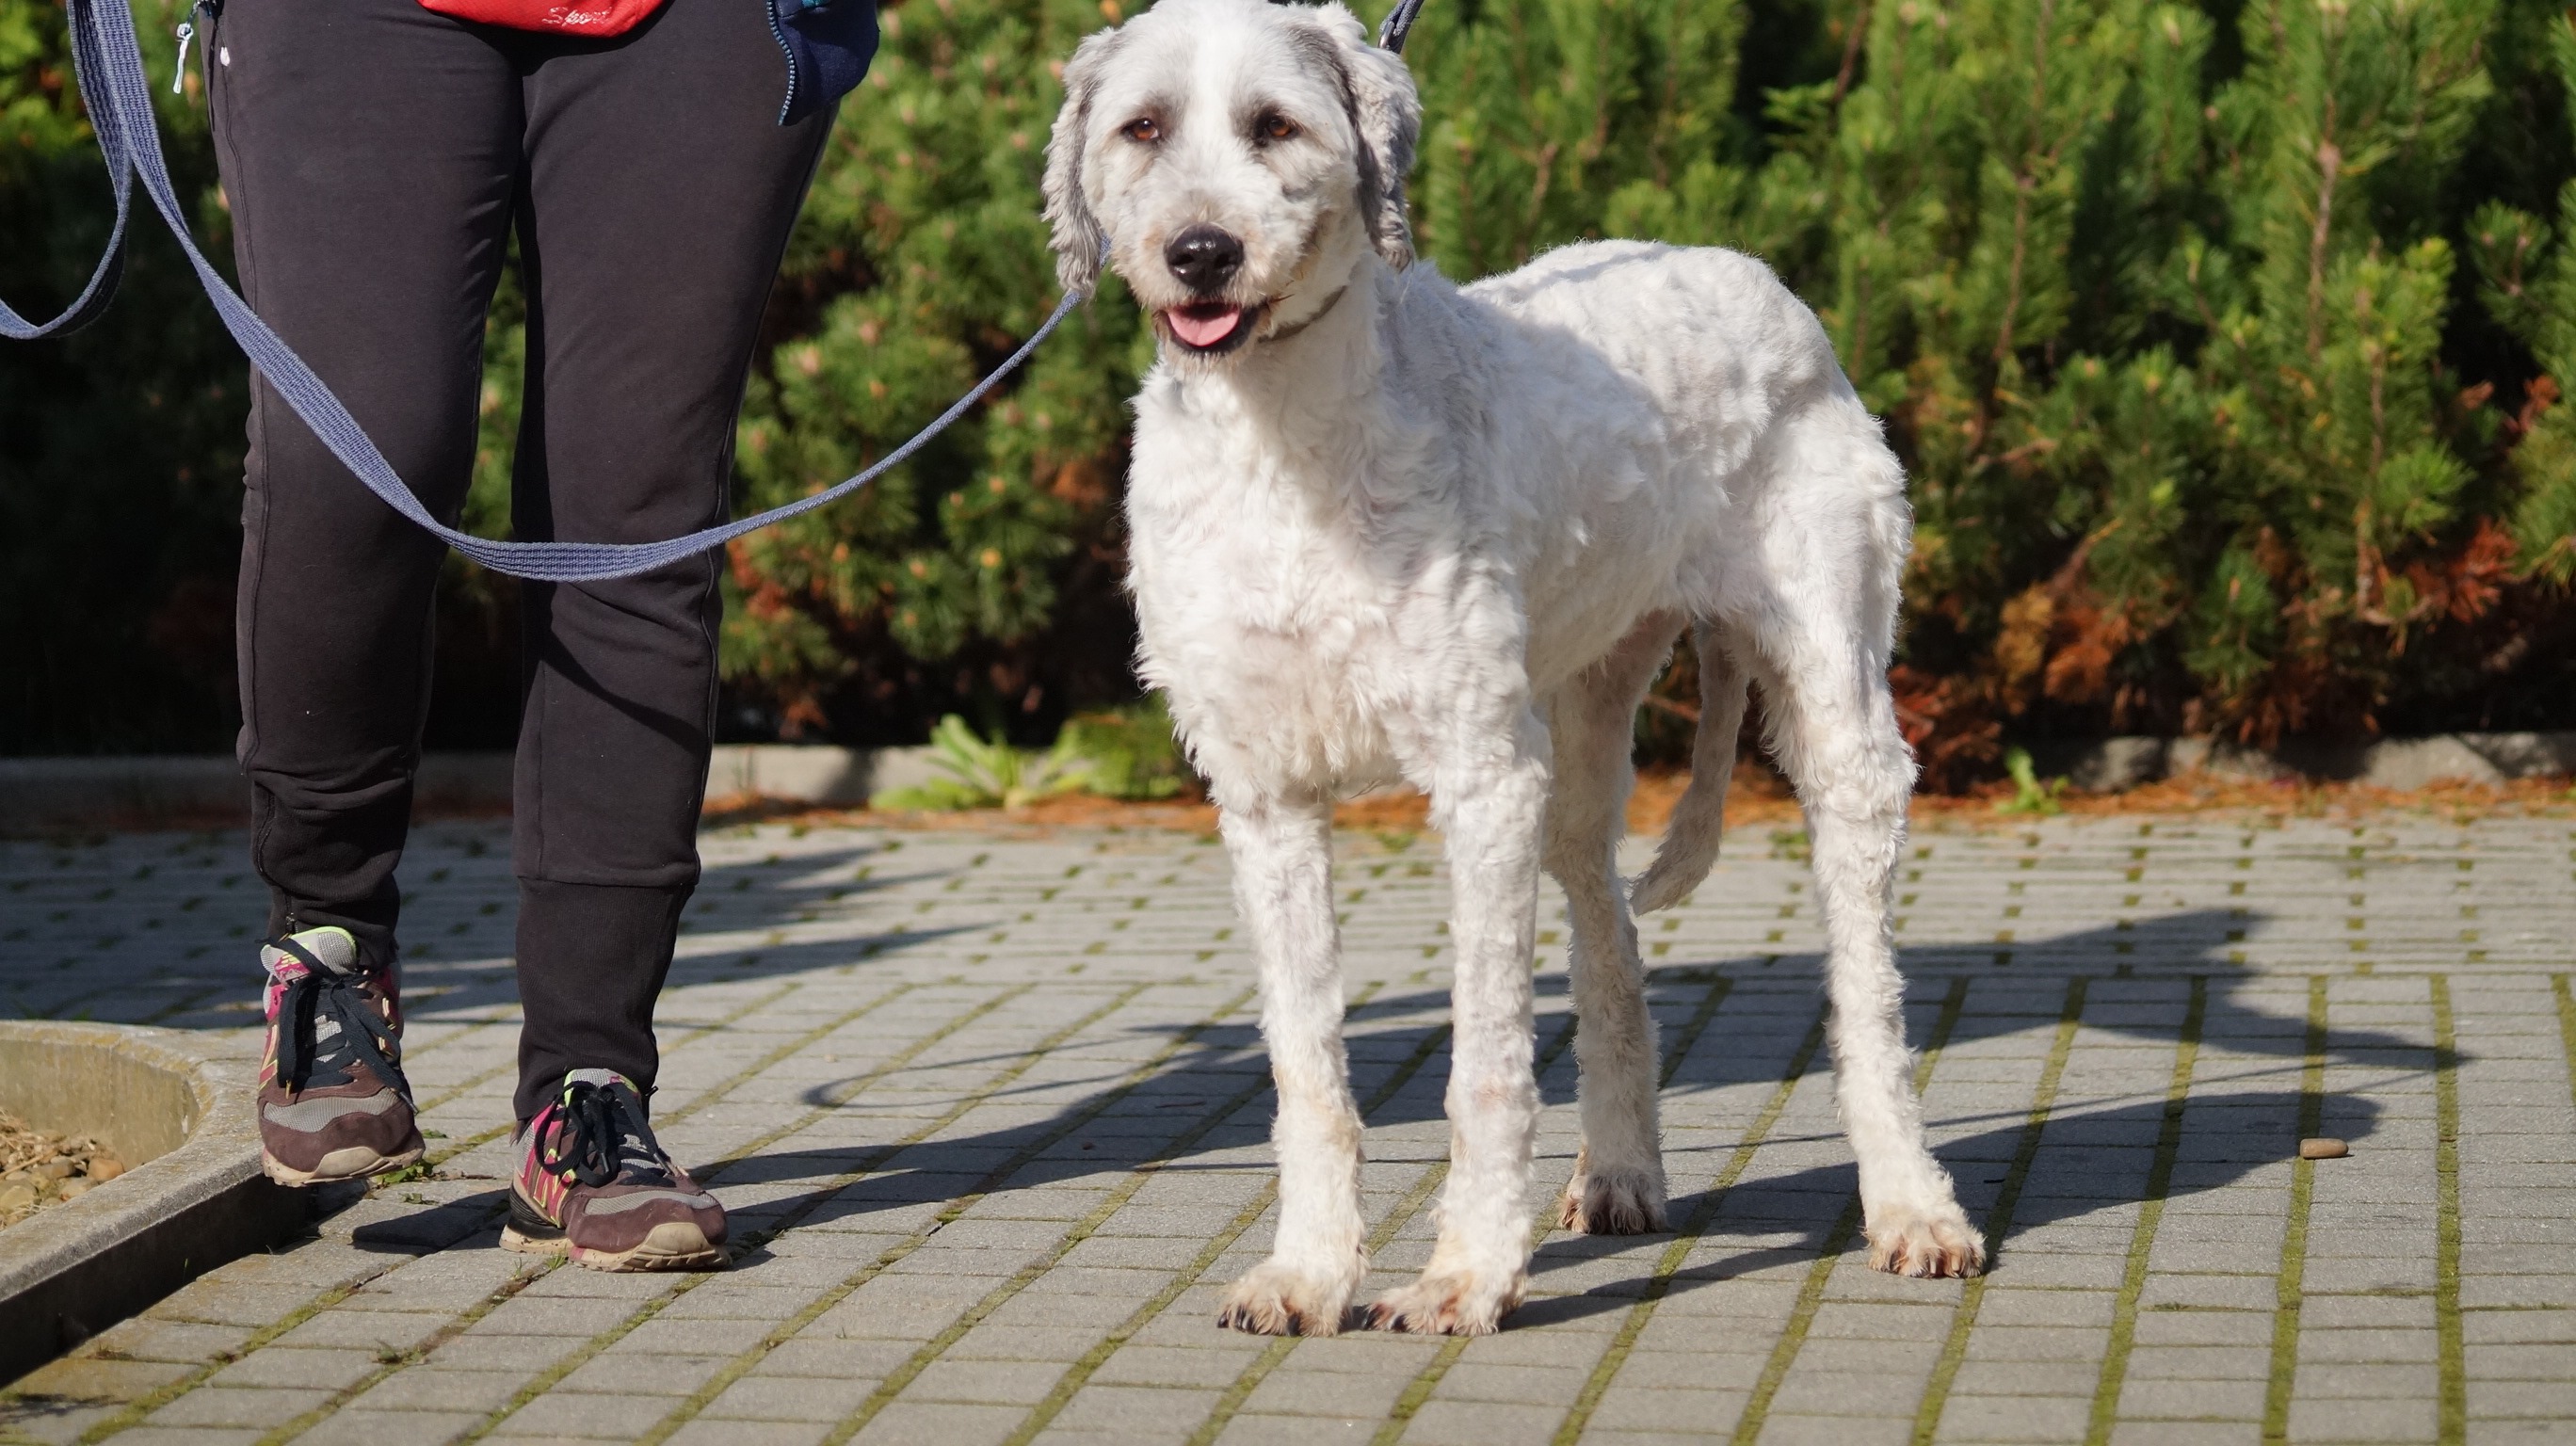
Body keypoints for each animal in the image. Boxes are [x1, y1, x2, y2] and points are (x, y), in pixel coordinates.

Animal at [1042, 0, 1983, 1336]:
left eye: (1275, 125)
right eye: (1143, 128)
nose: (1201, 253)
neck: (1282, 434)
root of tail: (1750, 275)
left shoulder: (1480, 778)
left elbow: (1484, 1062)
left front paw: (1462, 1277)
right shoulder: (1265, 799)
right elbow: (1306, 1068)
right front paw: (1309, 1273)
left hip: (1836, 705)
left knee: (1870, 998)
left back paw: (1913, 1207)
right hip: (1582, 726)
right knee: (1611, 942)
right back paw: (1625, 1171)